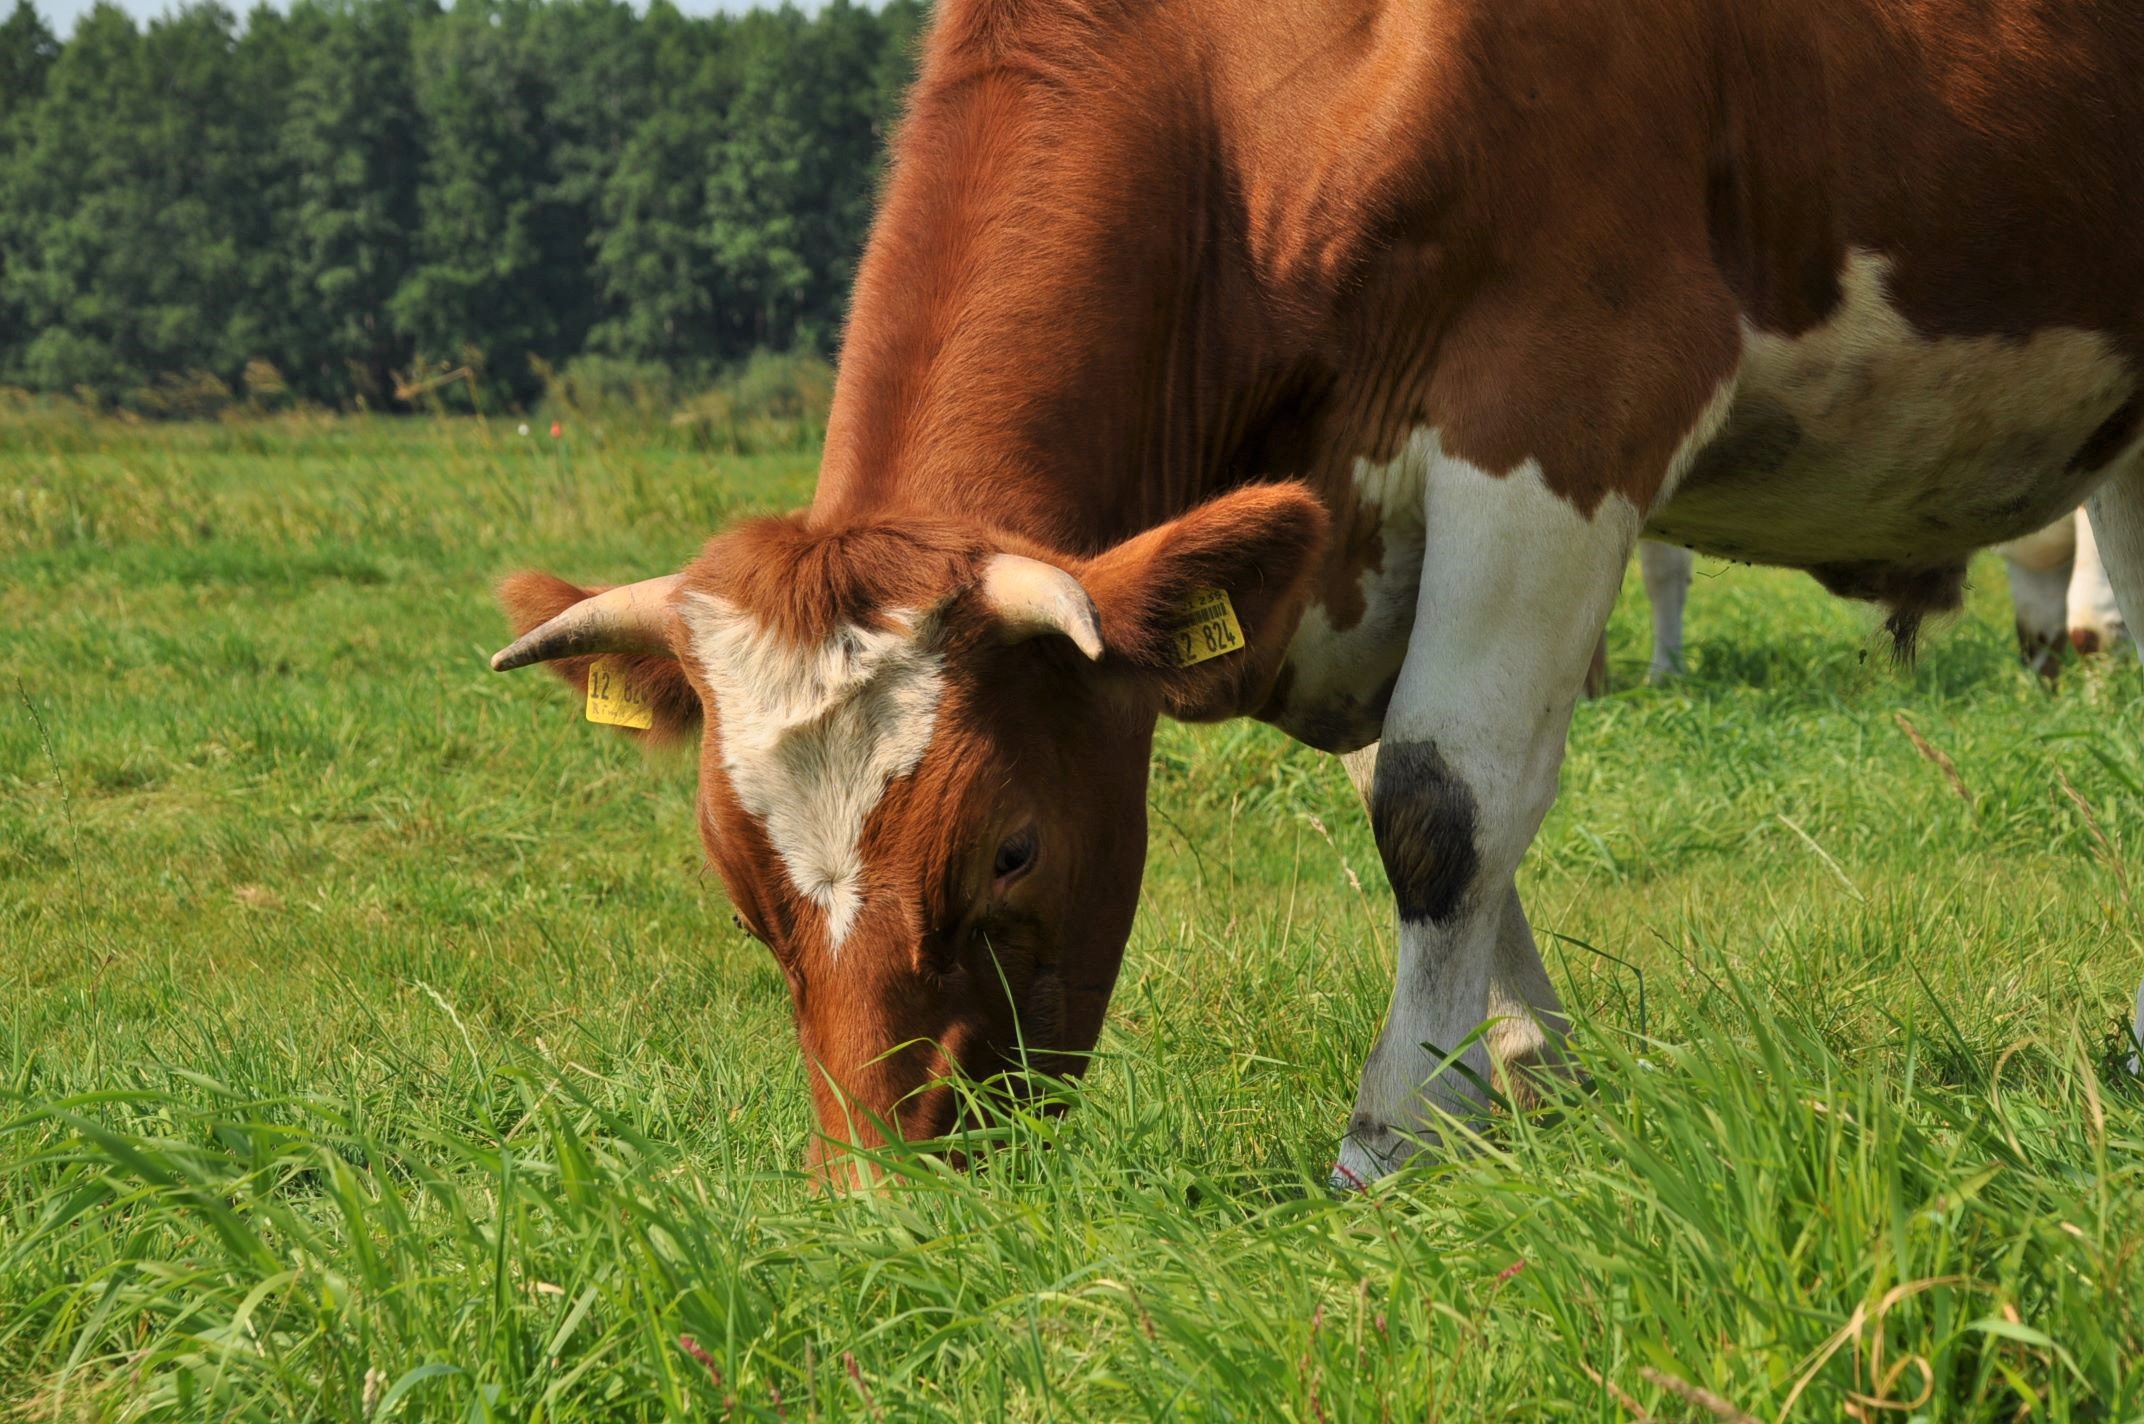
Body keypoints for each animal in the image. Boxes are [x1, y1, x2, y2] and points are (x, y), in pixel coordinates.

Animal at [486, 0, 2144, 1192]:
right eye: (734, 877)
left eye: (1010, 847)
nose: (882, 1198)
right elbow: (1416, 799)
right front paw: (1523, 1078)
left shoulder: (1566, 396)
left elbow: (1444, 799)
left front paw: (1399, 1130)